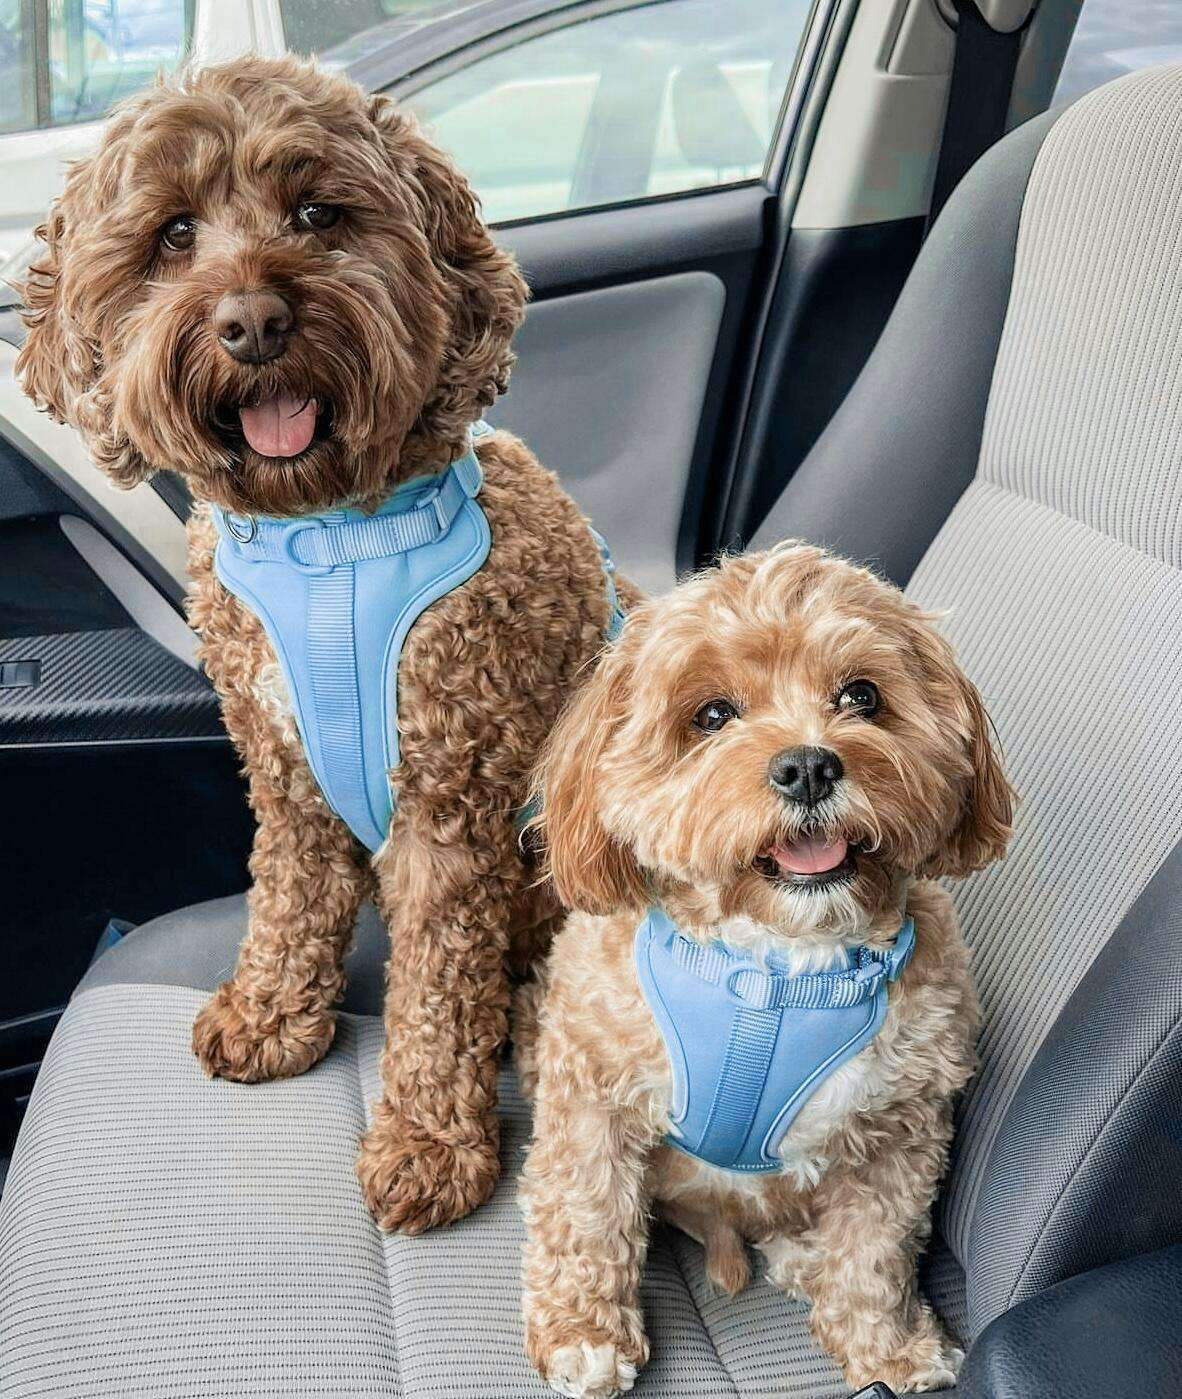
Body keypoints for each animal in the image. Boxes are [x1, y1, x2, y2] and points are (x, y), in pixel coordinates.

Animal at [17, 55, 636, 1234]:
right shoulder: (284, 772)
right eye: (173, 233)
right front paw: (270, 1012)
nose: (255, 321)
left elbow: (436, 992)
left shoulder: (450, 806)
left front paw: (428, 1144)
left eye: (317, 214)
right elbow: (290, 899)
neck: (327, 538)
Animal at [516, 543, 1012, 1397]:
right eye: (713, 715)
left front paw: (888, 1346)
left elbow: (877, 1248)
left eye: (862, 695)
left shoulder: (903, 1128)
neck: (777, 974)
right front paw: (585, 1332)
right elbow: (585, 1207)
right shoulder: (591, 1083)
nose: (809, 766)